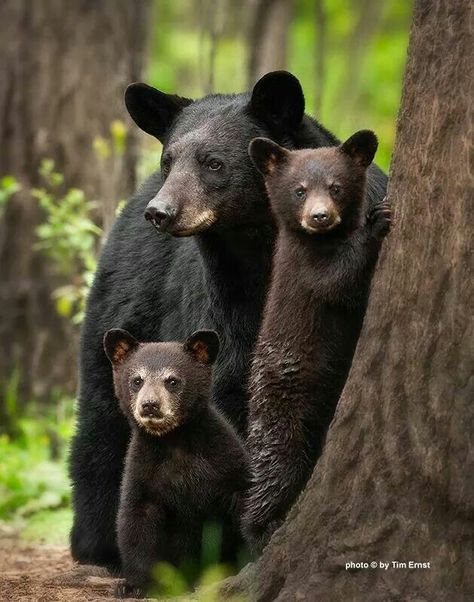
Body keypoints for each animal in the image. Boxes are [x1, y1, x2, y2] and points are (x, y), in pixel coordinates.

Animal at [243, 132, 390, 548]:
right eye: (299, 190)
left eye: (336, 187)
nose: (319, 216)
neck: (322, 241)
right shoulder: (304, 271)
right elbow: (339, 280)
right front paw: (377, 222)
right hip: (280, 415)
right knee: (273, 472)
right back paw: (262, 529)